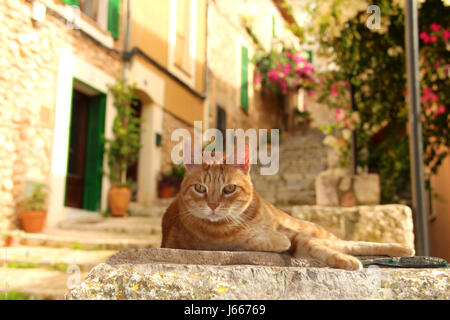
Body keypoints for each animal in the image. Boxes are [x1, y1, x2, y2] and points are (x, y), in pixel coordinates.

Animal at [162, 147, 414, 270]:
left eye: (229, 188)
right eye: (200, 188)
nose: (213, 205)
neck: (244, 217)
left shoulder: (298, 234)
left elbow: (320, 248)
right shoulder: (214, 244)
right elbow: (258, 240)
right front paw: (276, 240)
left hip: (315, 230)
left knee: (349, 243)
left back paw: (402, 248)